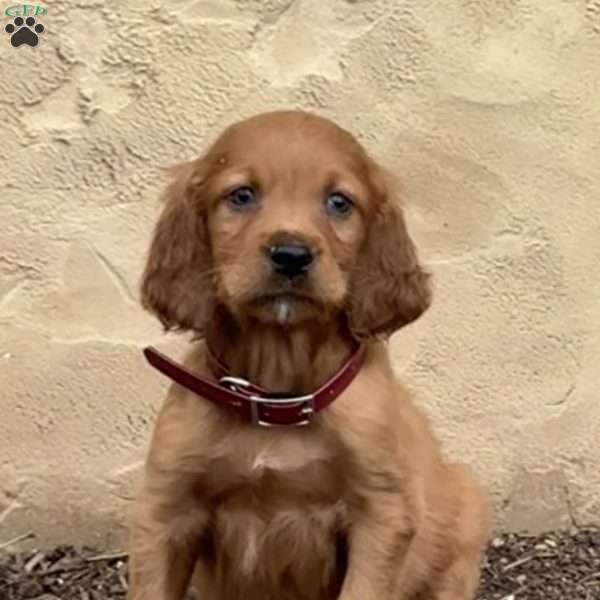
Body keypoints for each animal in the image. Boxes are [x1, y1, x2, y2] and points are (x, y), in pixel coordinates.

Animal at [129, 109, 490, 600]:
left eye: (339, 203)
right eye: (242, 195)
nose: (291, 255)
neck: (278, 396)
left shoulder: (381, 512)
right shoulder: (167, 509)